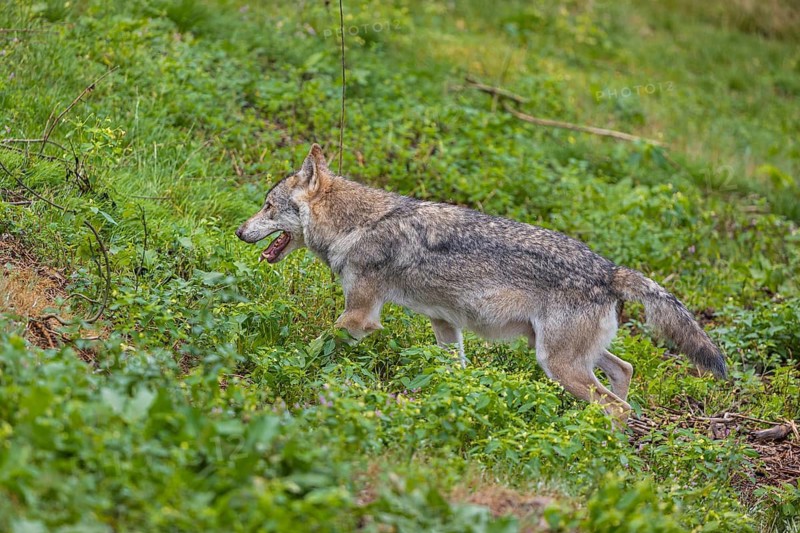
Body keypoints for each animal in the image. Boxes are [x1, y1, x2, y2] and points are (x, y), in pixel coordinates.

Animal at [236, 144, 727, 419]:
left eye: (266, 206)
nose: (239, 231)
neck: (356, 224)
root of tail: (610, 269)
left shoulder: (360, 316)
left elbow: (315, 346)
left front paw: (287, 364)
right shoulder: (444, 324)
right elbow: (452, 372)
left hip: (557, 363)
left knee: (618, 406)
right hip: (559, 354)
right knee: (624, 371)